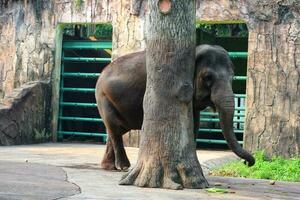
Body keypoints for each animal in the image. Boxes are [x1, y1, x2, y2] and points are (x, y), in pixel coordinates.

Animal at [96, 45, 255, 170]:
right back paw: (123, 167)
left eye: (232, 77)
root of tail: (102, 72)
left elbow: (194, 125)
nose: (247, 163)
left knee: (115, 130)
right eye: (208, 77)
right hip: (104, 98)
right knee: (115, 128)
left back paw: (109, 166)